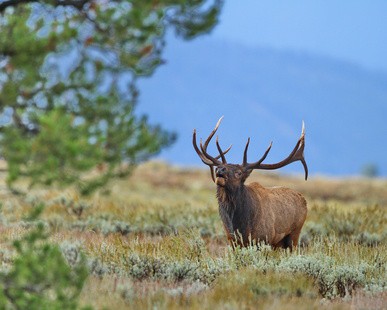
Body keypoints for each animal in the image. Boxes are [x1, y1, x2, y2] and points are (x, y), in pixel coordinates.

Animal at [194, 117, 310, 251]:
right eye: (219, 167)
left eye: (239, 173)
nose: (220, 169)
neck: (239, 224)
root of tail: (304, 200)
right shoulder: (232, 240)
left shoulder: (263, 238)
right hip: (279, 243)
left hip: (294, 233)